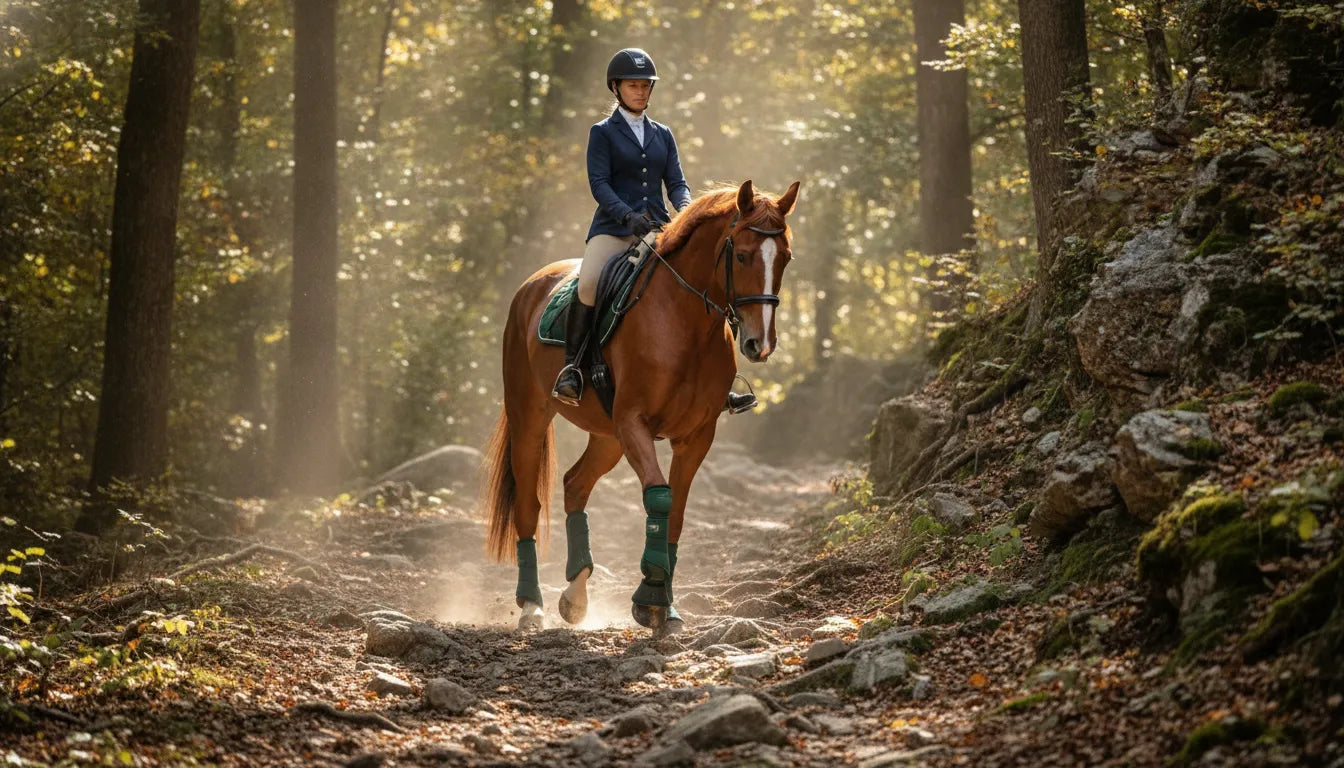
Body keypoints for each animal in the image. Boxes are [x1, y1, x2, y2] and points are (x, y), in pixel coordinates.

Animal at [482, 179, 800, 634]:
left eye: (786, 258)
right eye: (741, 255)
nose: (761, 345)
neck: (686, 326)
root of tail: (533, 284)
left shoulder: (696, 436)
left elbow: (677, 513)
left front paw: (665, 606)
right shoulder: (635, 423)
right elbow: (659, 498)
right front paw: (649, 596)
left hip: (608, 436)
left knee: (575, 484)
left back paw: (575, 597)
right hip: (531, 417)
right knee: (529, 502)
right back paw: (532, 606)